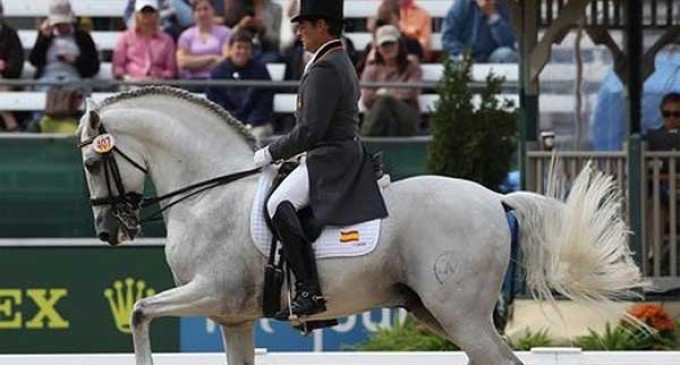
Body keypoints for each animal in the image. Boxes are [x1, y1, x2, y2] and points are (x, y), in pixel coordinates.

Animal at [77, 87, 640, 364]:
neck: (210, 192)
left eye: (90, 163)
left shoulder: (213, 291)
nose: (109, 232)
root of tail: (493, 197)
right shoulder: (234, 318)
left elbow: (140, 313)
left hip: (460, 315)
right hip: (435, 312)